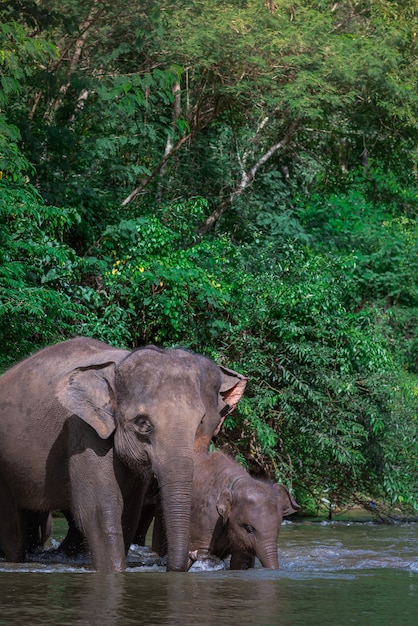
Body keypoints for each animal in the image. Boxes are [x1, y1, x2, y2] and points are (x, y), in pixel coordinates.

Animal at [0, 336, 247, 572]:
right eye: (142, 423)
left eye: (201, 423)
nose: (193, 557)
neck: (120, 363)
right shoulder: (83, 432)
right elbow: (100, 510)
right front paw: (114, 570)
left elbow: (129, 512)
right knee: (13, 528)